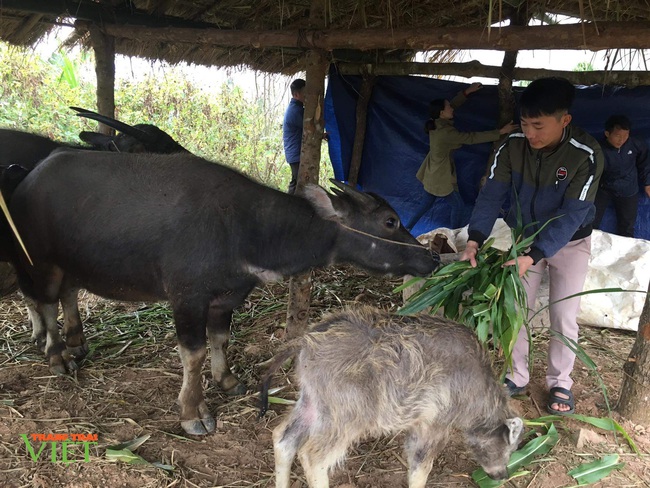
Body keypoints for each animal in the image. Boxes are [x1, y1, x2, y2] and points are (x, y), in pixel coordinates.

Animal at [7, 151, 438, 436]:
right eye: (390, 220)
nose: (431, 257)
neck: (243, 226)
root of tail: (29, 177)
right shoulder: (187, 297)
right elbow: (193, 353)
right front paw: (193, 412)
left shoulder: (226, 296)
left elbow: (220, 339)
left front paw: (227, 380)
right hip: (39, 259)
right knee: (43, 300)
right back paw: (56, 354)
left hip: (70, 263)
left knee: (67, 294)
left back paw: (76, 342)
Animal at [258, 308, 520, 488]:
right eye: (510, 445)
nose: (502, 475)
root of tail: (305, 342)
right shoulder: (434, 424)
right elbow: (421, 466)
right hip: (346, 416)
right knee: (312, 456)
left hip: (312, 403)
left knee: (283, 438)